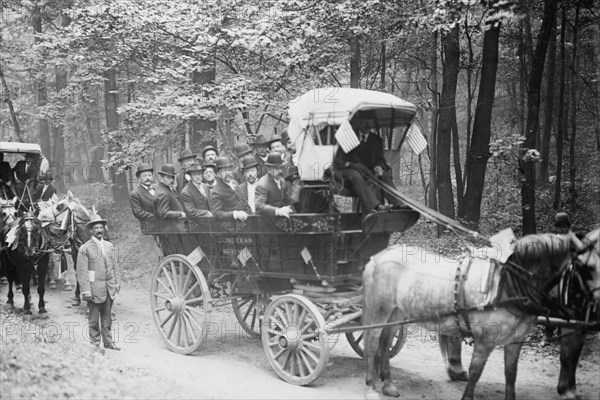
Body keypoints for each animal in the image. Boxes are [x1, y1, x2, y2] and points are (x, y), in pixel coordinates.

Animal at [360, 230, 600, 400]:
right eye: (585, 266)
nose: (596, 305)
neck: (508, 284)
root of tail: (378, 256)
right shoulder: (485, 340)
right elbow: (476, 372)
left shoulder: (515, 341)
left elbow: (511, 374)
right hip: (379, 310)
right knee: (371, 343)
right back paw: (372, 387)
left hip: (397, 313)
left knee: (385, 342)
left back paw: (388, 385)